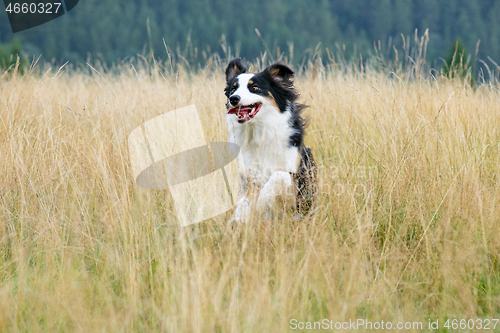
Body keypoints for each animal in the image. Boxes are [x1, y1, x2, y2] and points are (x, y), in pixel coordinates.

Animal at [226, 57, 318, 223]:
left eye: (254, 87)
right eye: (232, 89)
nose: (234, 99)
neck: (260, 132)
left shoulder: (295, 174)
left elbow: (278, 175)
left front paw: (262, 201)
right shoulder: (249, 175)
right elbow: (245, 200)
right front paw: (239, 218)